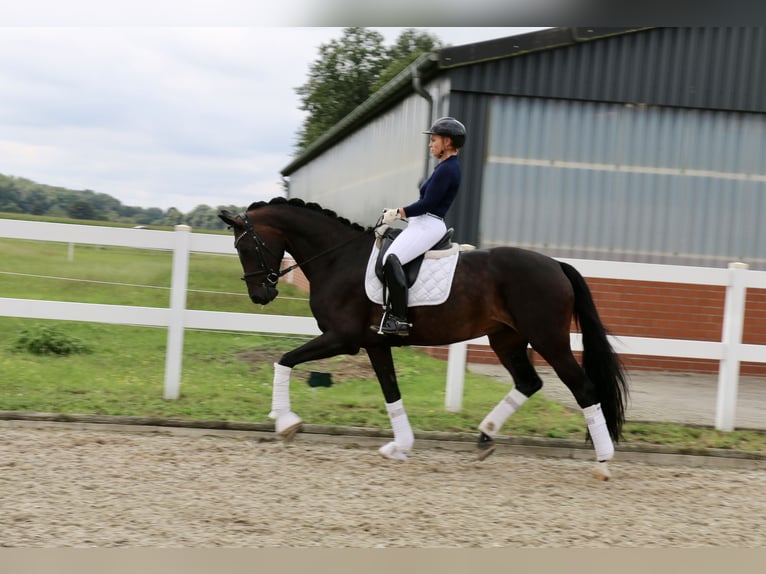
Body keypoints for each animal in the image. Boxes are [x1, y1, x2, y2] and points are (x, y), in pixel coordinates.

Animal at [218, 198, 632, 482]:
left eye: (244, 247)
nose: (260, 295)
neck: (338, 260)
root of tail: (556, 265)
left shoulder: (342, 339)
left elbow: (284, 359)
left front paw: (285, 422)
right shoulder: (375, 345)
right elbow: (391, 393)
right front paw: (399, 446)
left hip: (548, 339)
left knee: (583, 387)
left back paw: (603, 462)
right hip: (507, 339)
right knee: (529, 382)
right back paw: (485, 437)